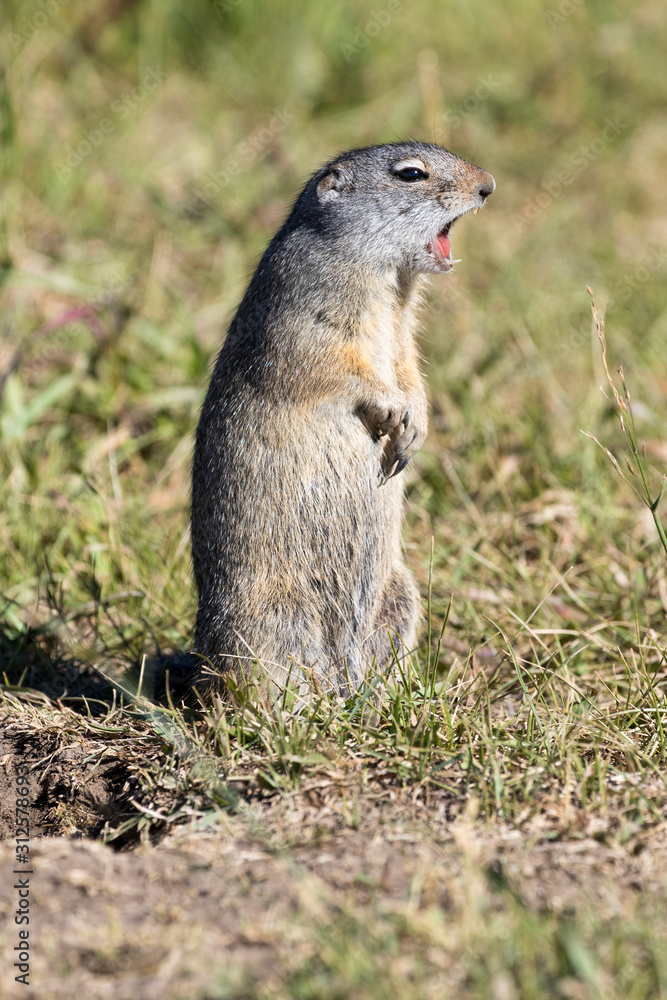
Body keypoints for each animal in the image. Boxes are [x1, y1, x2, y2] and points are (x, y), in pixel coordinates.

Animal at [191, 141, 494, 697]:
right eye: (411, 174)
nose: (488, 185)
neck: (388, 280)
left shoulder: (403, 331)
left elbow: (409, 367)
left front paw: (415, 425)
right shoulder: (304, 309)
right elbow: (333, 365)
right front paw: (390, 406)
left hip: (399, 594)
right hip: (264, 618)